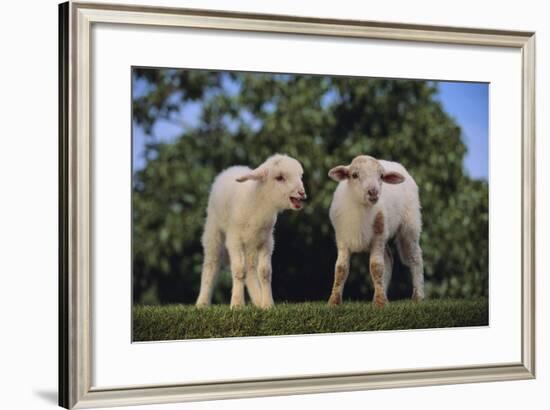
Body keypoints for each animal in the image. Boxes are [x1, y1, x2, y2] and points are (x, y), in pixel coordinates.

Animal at [195, 154, 308, 308]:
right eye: (279, 178)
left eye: (300, 176)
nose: (302, 193)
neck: (258, 204)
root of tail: (233, 167)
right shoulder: (234, 240)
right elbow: (238, 270)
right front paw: (237, 304)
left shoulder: (266, 241)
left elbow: (265, 272)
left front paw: (268, 304)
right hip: (214, 229)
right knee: (211, 263)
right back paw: (202, 302)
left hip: (251, 243)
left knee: (250, 268)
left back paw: (258, 300)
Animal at [328, 155, 426, 306]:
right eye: (354, 175)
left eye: (381, 176)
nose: (373, 192)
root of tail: (395, 164)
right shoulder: (342, 239)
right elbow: (341, 269)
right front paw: (333, 301)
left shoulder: (378, 237)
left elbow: (376, 266)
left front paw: (380, 303)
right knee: (389, 259)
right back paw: (382, 293)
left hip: (410, 223)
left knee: (415, 257)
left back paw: (418, 296)